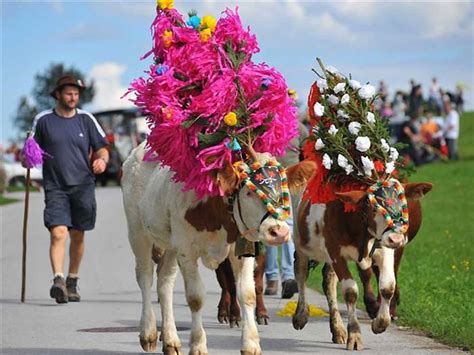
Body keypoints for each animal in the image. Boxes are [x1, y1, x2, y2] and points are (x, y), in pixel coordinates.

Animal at [121, 143, 314, 355]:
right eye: (248, 192)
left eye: (284, 187)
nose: (279, 231)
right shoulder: (186, 251)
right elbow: (195, 297)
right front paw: (198, 345)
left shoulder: (242, 251)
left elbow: (247, 293)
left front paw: (251, 344)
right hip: (138, 232)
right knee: (145, 276)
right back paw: (148, 333)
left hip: (171, 243)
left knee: (165, 281)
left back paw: (171, 340)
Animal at [290, 182, 432, 352]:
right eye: (374, 209)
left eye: (404, 206)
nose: (396, 238)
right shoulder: (336, 253)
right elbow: (350, 292)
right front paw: (355, 335)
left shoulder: (384, 249)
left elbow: (387, 286)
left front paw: (380, 323)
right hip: (301, 243)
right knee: (301, 272)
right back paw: (301, 315)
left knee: (328, 281)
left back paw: (337, 329)